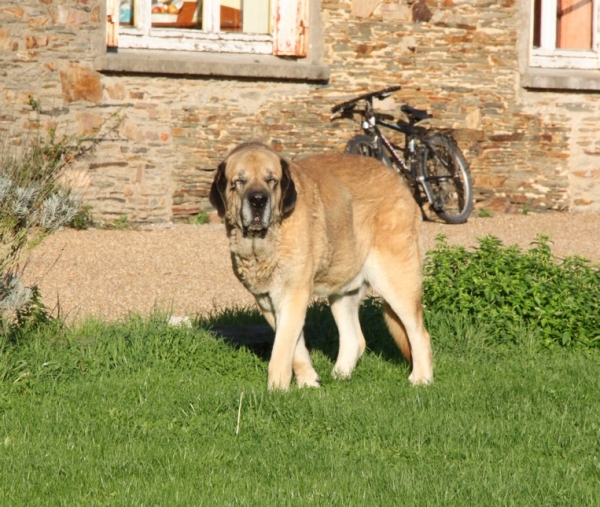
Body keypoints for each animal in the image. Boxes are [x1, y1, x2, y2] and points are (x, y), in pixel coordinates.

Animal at [211, 143, 432, 392]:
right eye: (239, 181)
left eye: (271, 180)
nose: (258, 200)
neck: (264, 242)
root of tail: (397, 180)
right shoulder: (267, 299)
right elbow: (295, 347)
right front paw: (309, 382)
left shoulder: (292, 294)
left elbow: (282, 349)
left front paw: (277, 389)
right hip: (343, 291)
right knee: (355, 340)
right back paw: (340, 376)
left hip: (396, 282)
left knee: (419, 334)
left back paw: (421, 379)